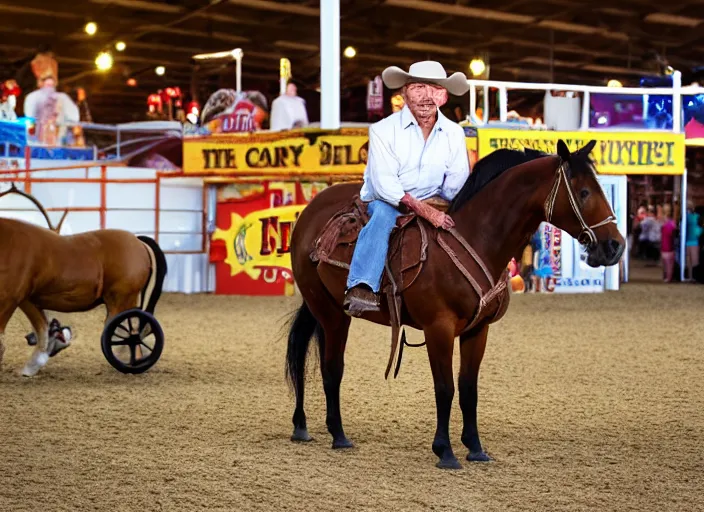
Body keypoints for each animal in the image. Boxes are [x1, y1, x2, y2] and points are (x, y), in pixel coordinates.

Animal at [0, 187, 166, 376]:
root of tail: (138, 241)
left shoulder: (9, 299)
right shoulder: (26, 300)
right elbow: (42, 329)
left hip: (121, 300)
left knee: (131, 331)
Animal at [286, 139, 628, 468]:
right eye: (584, 192)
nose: (615, 246)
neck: (478, 237)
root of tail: (310, 212)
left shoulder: (478, 331)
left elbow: (468, 389)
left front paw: (475, 448)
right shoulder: (439, 328)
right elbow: (445, 388)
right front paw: (445, 451)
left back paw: (305, 426)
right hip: (329, 311)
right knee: (332, 367)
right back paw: (337, 435)